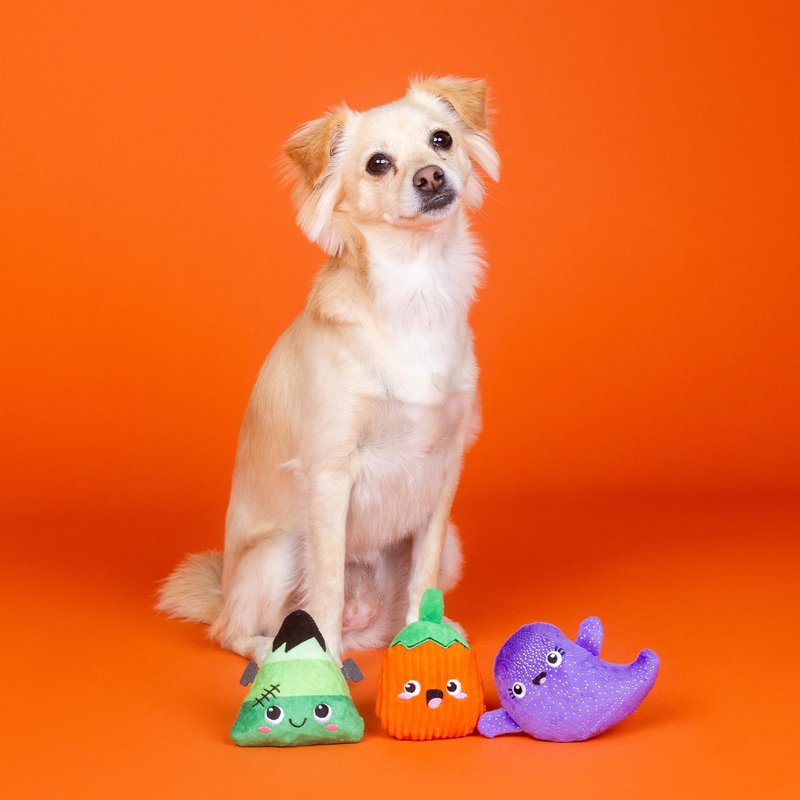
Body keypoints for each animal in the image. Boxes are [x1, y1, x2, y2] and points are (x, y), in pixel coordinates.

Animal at [157, 77, 499, 664]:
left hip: (451, 544)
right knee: (233, 630)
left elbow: (424, 573)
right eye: (378, 164)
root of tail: (222, 591)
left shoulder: (443, 472)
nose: (431, 175)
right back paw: (274, 648)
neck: (417, 287)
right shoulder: (330, 472)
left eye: (442, 139)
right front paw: (324, 667)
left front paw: (426, 640)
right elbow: (329, 583)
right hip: (279, 551)